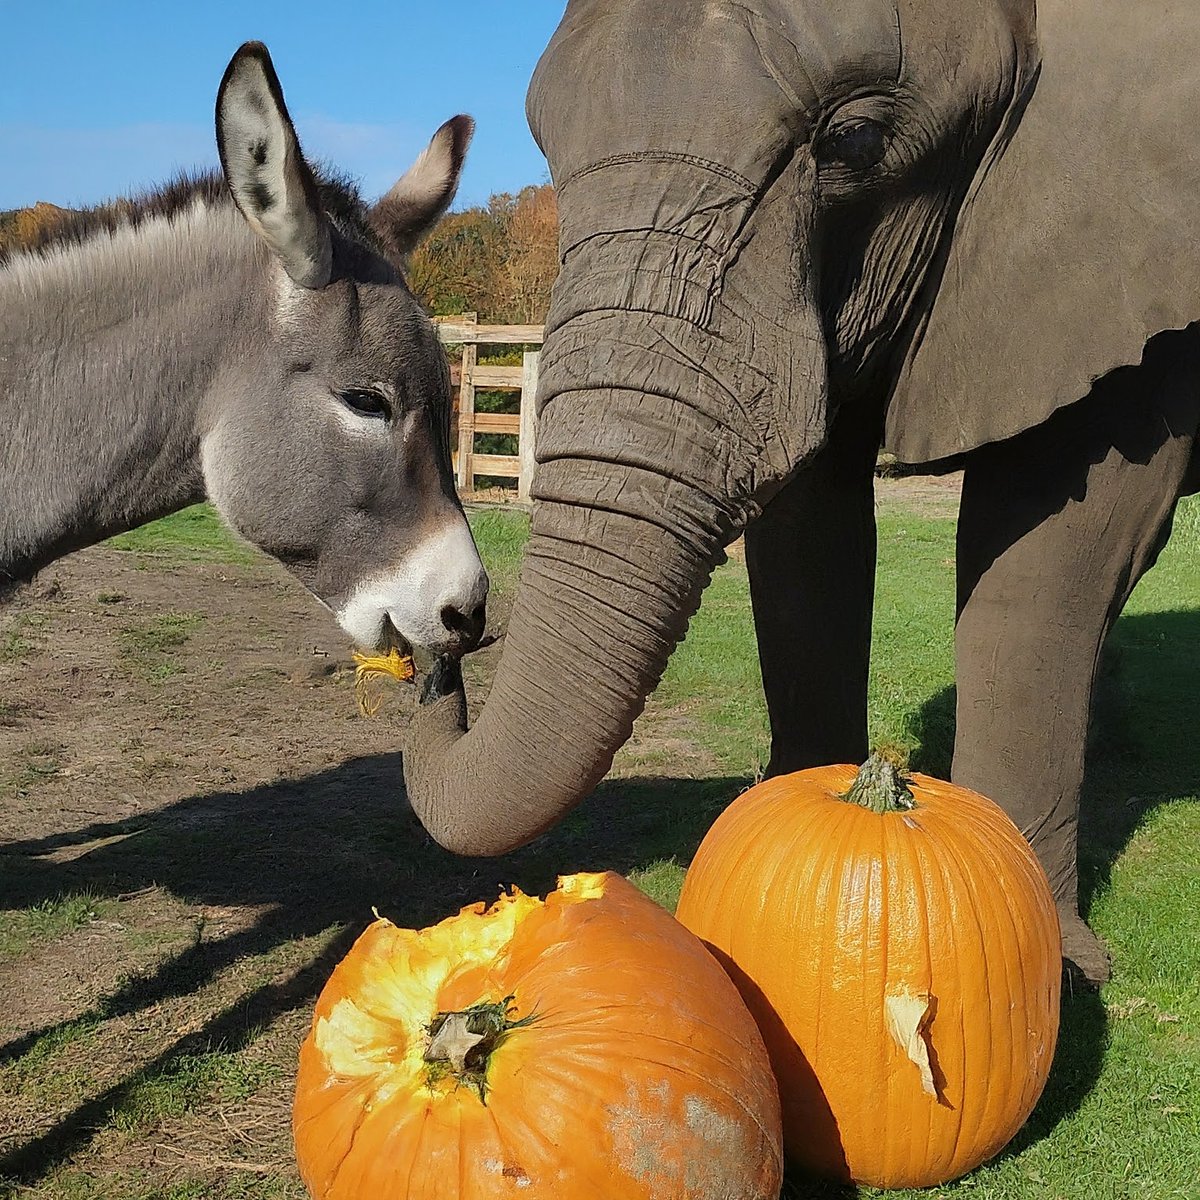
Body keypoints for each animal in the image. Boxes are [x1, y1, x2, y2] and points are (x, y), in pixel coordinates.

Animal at [405, 0, 1200, 984]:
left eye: (855, 139)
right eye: (546, 150)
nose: (442, 644)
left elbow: (1052, 544)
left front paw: (1062, 968)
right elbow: (808, 542)